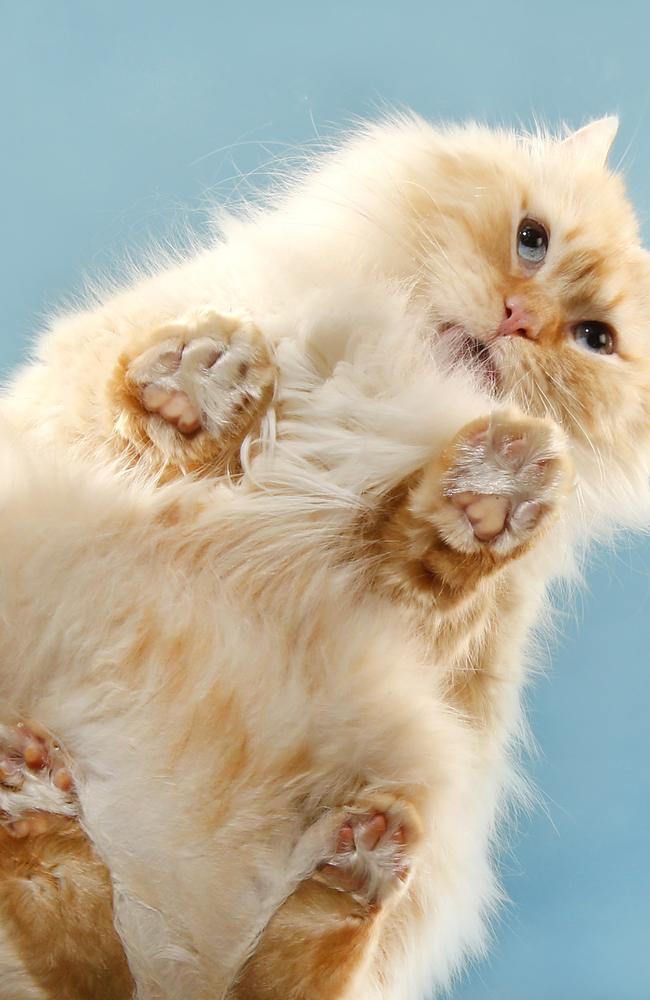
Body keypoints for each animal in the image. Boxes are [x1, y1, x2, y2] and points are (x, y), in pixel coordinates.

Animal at [1, 113, 648, 996]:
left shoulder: (447, 640)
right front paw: (202, 384)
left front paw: (489, 493)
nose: (520, 317)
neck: (392, 386)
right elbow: (141, 418)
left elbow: (430, 562)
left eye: (593, 339)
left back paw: (346, 871)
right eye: (531, 240)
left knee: (266, 959)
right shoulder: (71, 422)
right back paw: (30, 790)